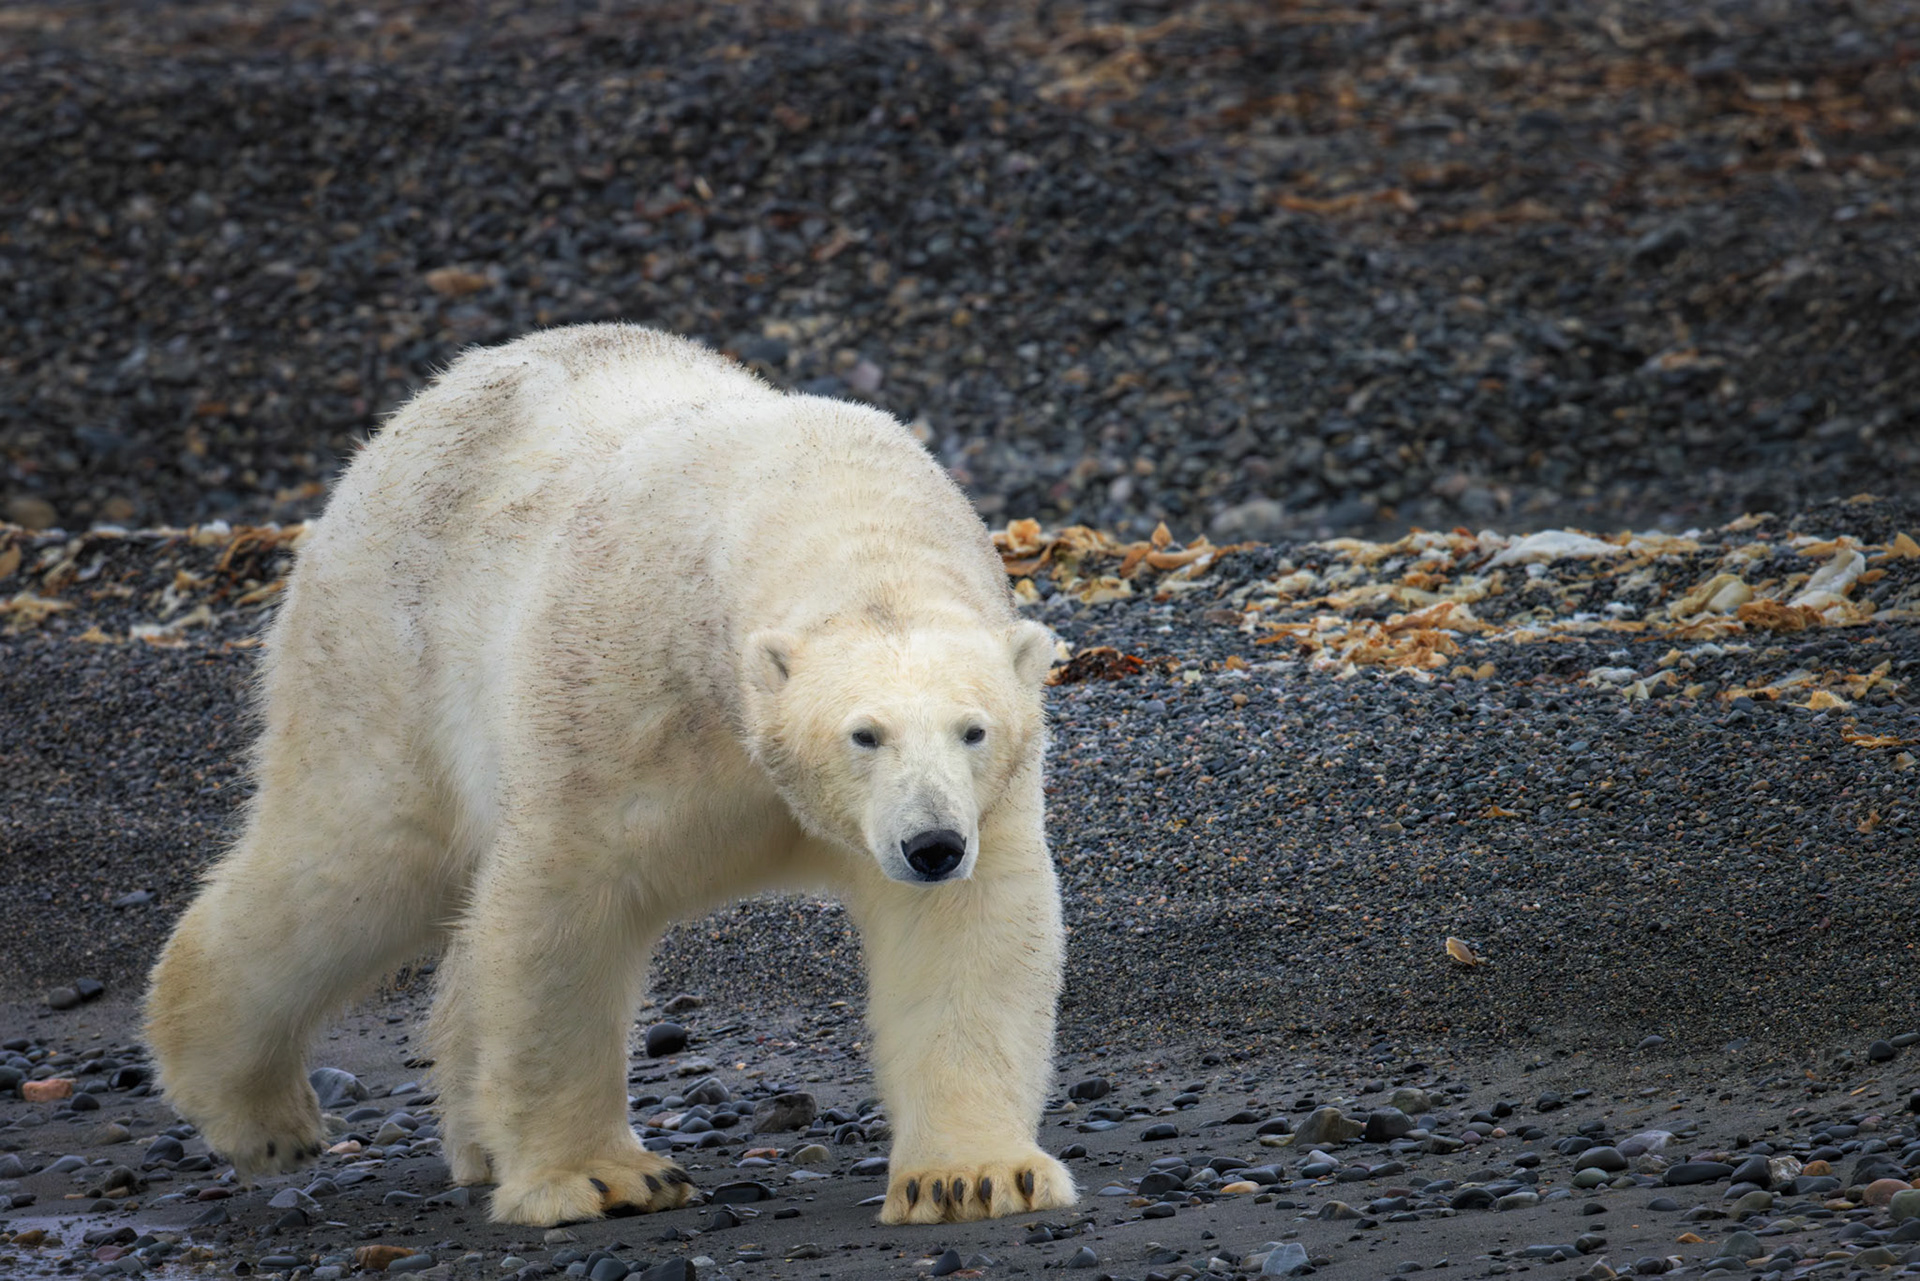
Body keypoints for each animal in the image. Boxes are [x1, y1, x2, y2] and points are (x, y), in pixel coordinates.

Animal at [144, 323, 1078, 1227]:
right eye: (864, 734)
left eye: (973, 729)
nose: (931, 844)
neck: (828, 501)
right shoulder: (620, 697)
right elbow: (562, 914)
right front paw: (600, 1178)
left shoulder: (984, 800)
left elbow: (965, 934)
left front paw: (971, 1176)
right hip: (384, 652)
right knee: (359, 862)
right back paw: (263, 1117)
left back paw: (474, 1137)